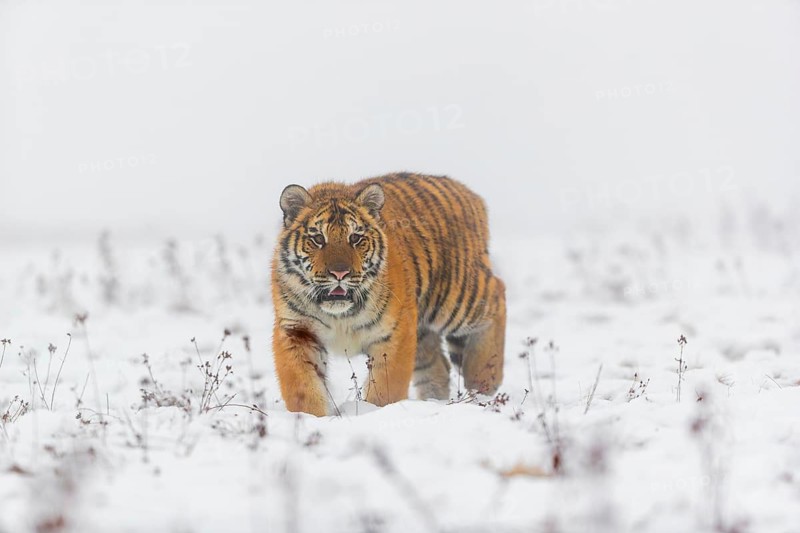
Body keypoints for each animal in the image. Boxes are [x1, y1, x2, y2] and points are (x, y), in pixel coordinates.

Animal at [271, 172, 506, 416]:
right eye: (318, 239)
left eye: (355, 238)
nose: (340, 273)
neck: (340, 315)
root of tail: (468, 193)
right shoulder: (297, 331)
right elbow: (303, 388)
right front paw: (309, 418)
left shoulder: (395, 332)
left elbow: (385, 388)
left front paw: (373, 413)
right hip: (425, 328)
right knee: (437, 366)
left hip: (455, 298)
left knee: (498, 295)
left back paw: (484, 380)